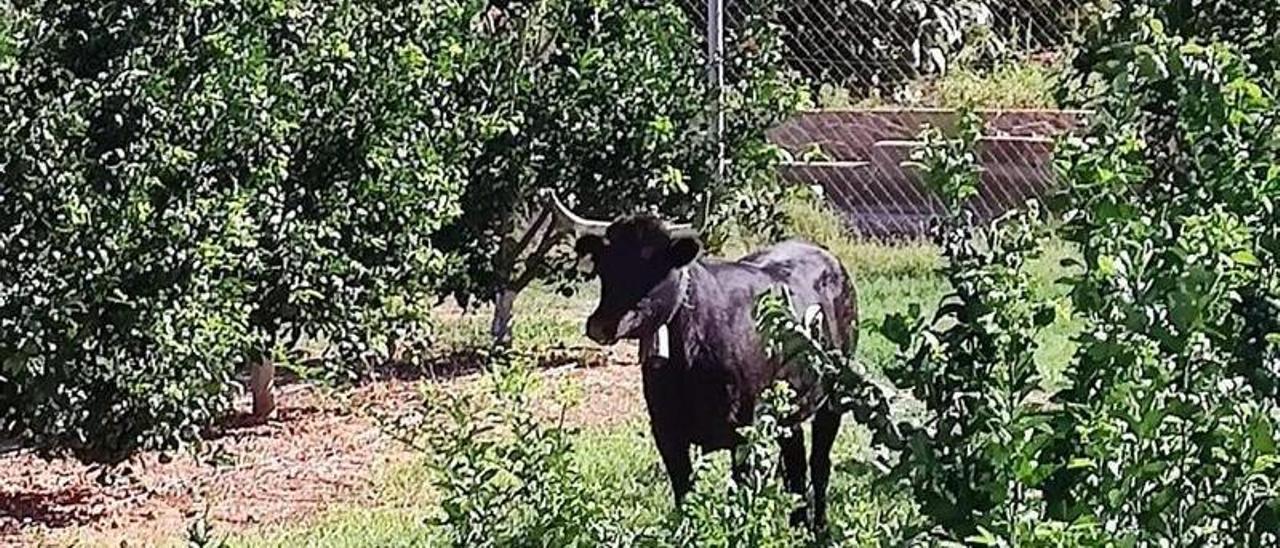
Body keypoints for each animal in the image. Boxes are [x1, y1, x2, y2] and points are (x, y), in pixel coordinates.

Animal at [545, 190, 855, 527]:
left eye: (654, 265)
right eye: (605, 265)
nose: (601, 325)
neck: (689, 358)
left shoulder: (744, 433)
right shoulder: (667, 432)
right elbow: (685, 493)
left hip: (834, 397)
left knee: (819, 462)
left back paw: (820, 525)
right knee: (795, 462)